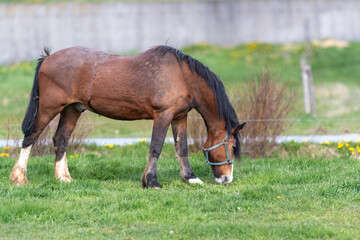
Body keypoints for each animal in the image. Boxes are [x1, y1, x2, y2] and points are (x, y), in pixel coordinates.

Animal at [9, 45, 245, 188]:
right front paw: (151, 182)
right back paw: (19, 178)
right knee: (31, 137)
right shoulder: (163, 115)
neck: (182, 76)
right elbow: (156, 147)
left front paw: (190, 178)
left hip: (72, 109)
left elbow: (182, 148)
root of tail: (48, 58)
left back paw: (63, 178)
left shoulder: (179, 116)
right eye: (232, 146)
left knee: (61, 140)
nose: (226, 179)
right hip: (49, 108)